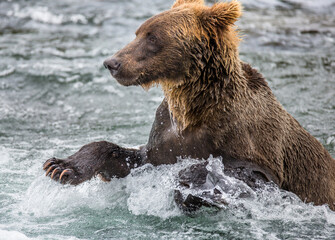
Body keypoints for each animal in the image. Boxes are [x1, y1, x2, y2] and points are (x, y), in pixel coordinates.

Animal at [43, 0, 335, 210]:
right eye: (138, 32)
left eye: (152, 37)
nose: (112, 62)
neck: (194, 106)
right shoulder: (165, 137)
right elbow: (129, 158)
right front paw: (60, 166)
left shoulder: (253, 142)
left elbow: (249, 173)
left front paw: (189, 181)